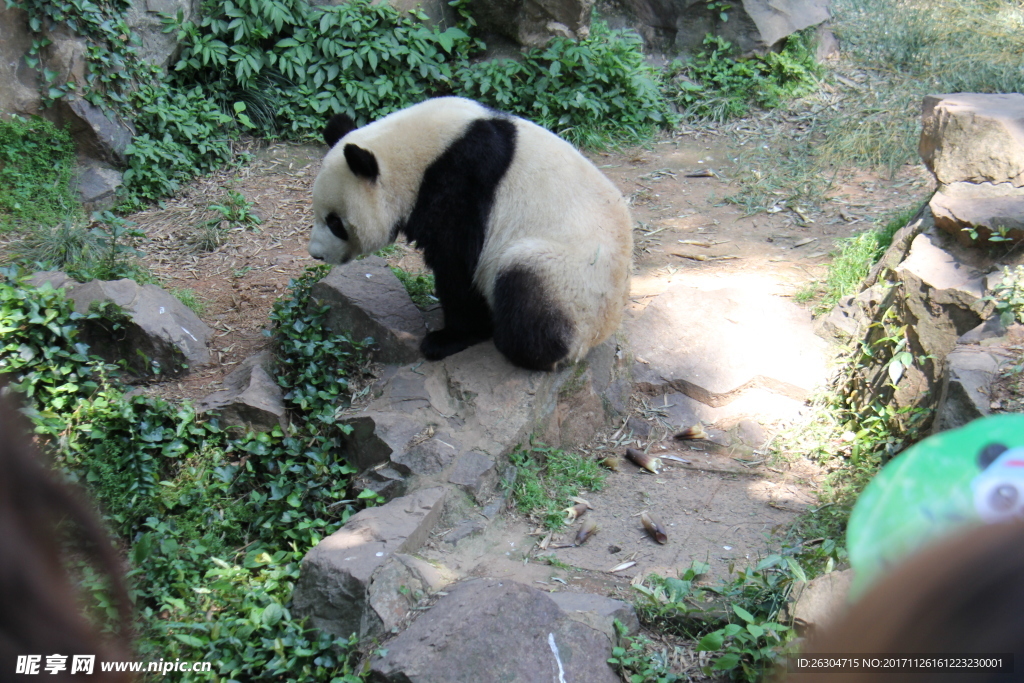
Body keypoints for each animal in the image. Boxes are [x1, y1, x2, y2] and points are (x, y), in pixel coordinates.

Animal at [307, 96, 630, 370]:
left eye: (335, 222)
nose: (316, 254)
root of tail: (598, 335)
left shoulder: (461, 183)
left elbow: (457, 262)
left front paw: (448, 338)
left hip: (573, 283)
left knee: (525, 279)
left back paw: (521, 347)